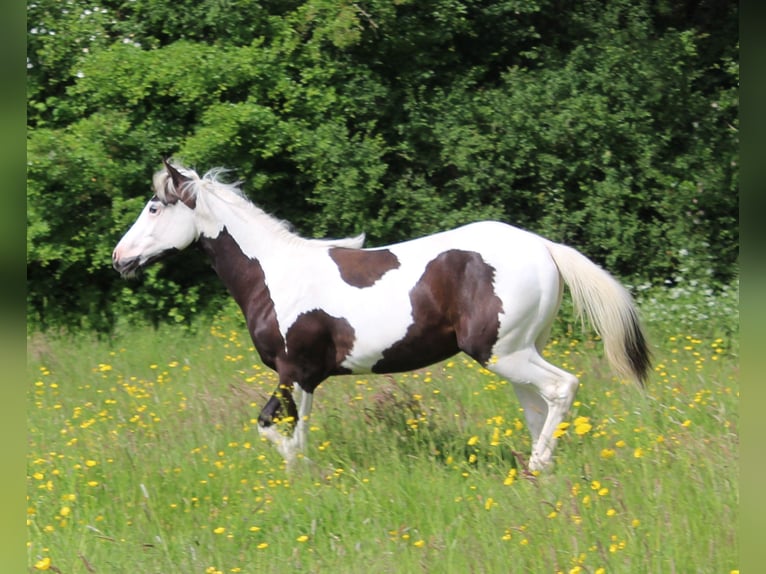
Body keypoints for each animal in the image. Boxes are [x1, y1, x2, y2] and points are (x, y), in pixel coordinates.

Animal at [112, 160, 650, 472]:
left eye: (155, 207)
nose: (119, 259)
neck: (274, 274)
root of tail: (544, 247)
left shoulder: (292, 371)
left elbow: (272, 428)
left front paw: (301, 474)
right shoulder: (306, 378)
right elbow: (298, 431)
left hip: (502, 352)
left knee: (562, 388)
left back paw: (538, 465)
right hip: (518, 353)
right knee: (538, 407)